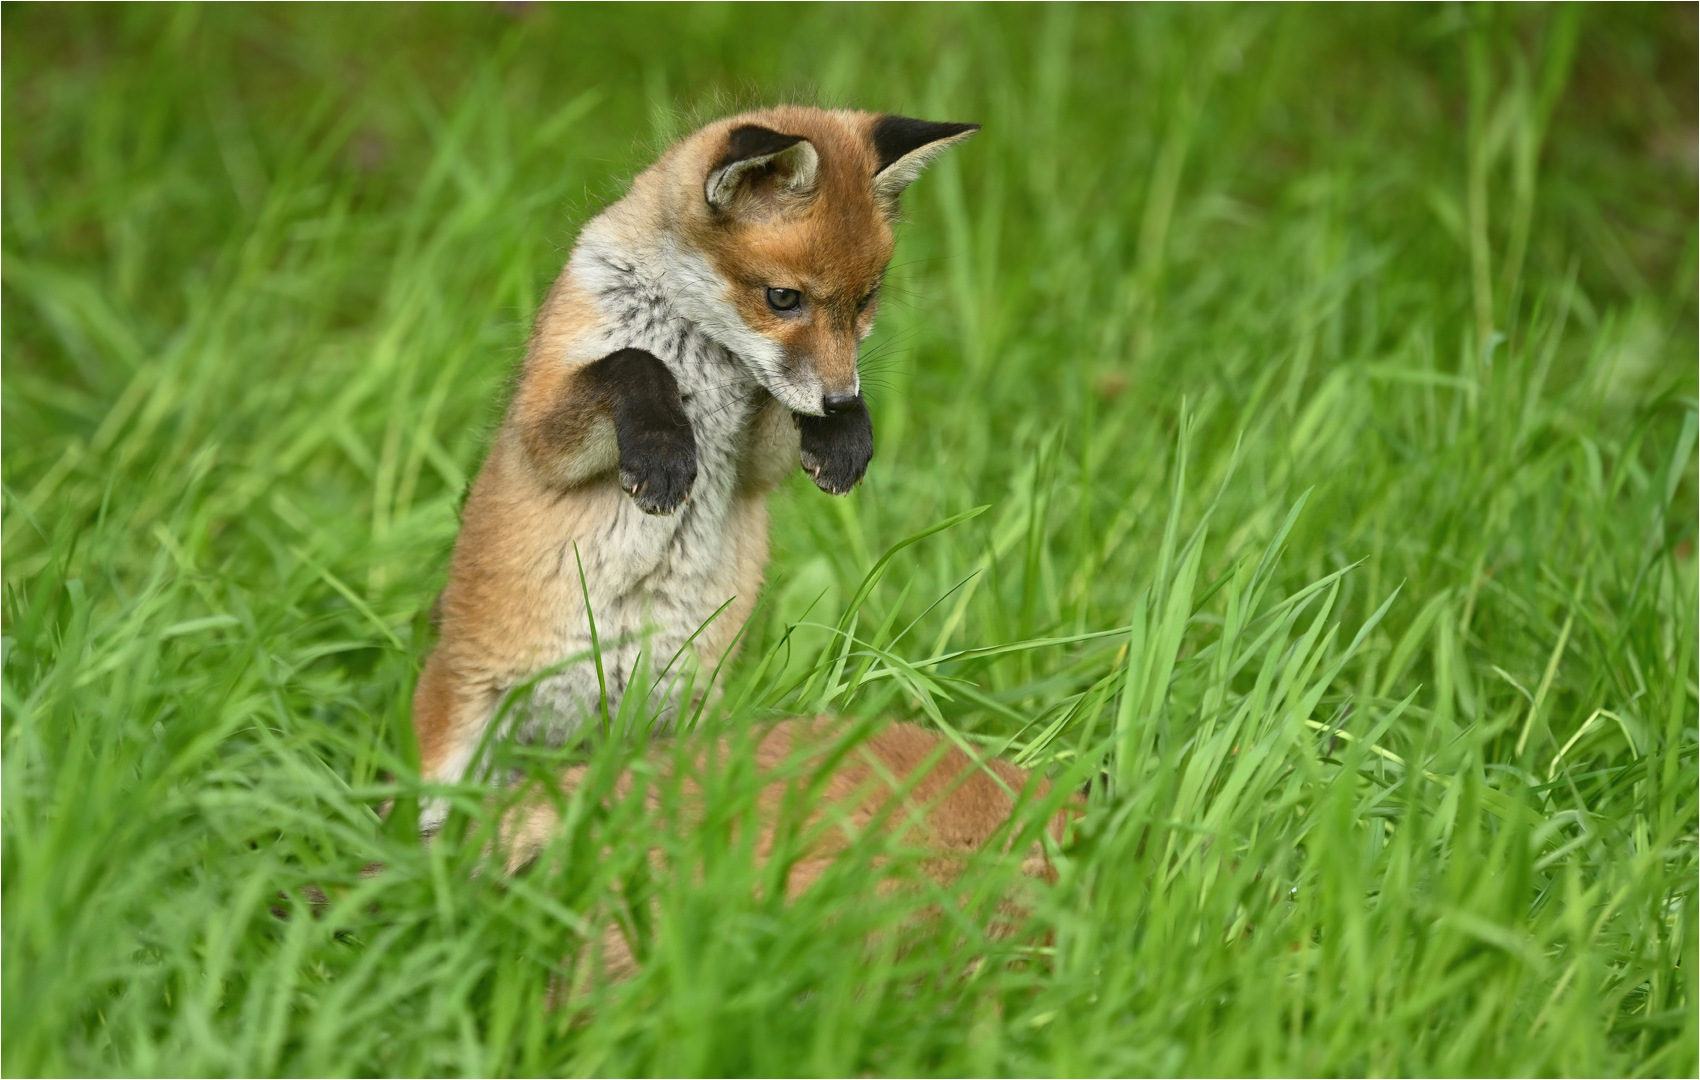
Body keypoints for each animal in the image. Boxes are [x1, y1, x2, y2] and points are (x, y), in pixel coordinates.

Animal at [411, 107, 979, 809]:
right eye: (783, 298)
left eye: (865, 300)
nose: (840, 398)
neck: (701, 350)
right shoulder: (541, 430)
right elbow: (634, 363)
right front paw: (662, 453)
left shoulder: (755, 466)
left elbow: (781, 410)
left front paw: (845, 435)